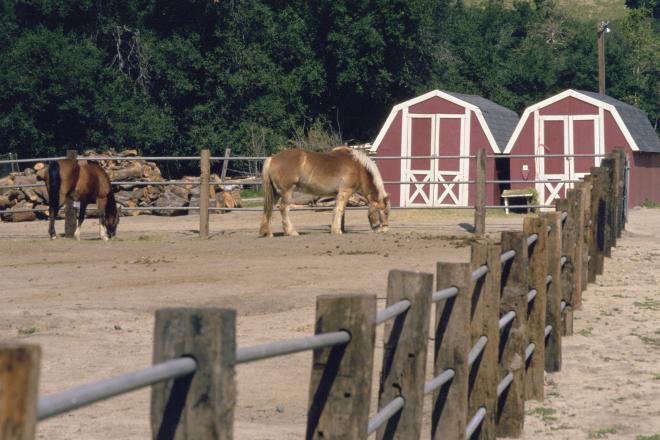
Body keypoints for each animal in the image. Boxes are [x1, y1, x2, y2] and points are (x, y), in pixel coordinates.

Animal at [258, 147, 390, 237]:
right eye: (385, 212)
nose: (384, 230)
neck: (358, 167)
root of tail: (272, 158)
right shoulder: (345, 191)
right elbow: (339, 210)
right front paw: (337, 230)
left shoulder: (338, 194)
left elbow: (337, 210)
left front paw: (336, 229)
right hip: (287, 192)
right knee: (283, 209)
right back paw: (291, 232)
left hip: (275, 193)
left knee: (269, 209)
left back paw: (266, 233)